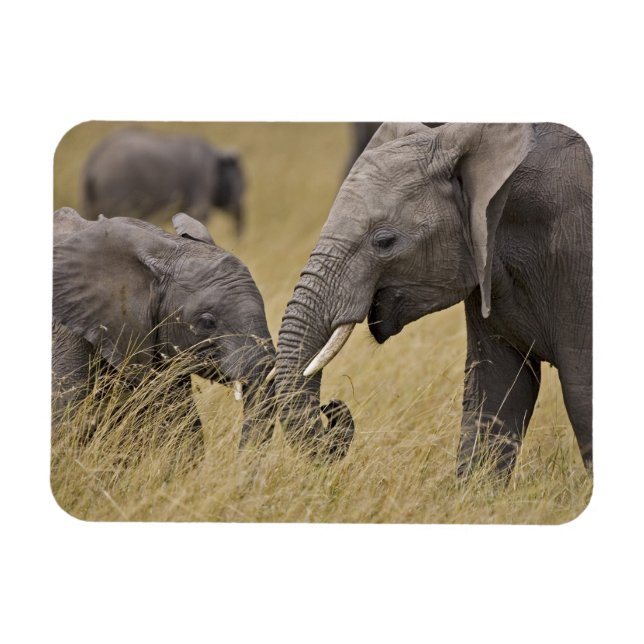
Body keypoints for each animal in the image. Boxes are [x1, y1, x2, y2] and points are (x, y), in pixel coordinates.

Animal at [82, 128, 246, 236]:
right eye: (244, 184)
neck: (217, 156)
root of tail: (92, 161)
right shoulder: (201, 180)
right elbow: (199, 215)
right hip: (117, 187)